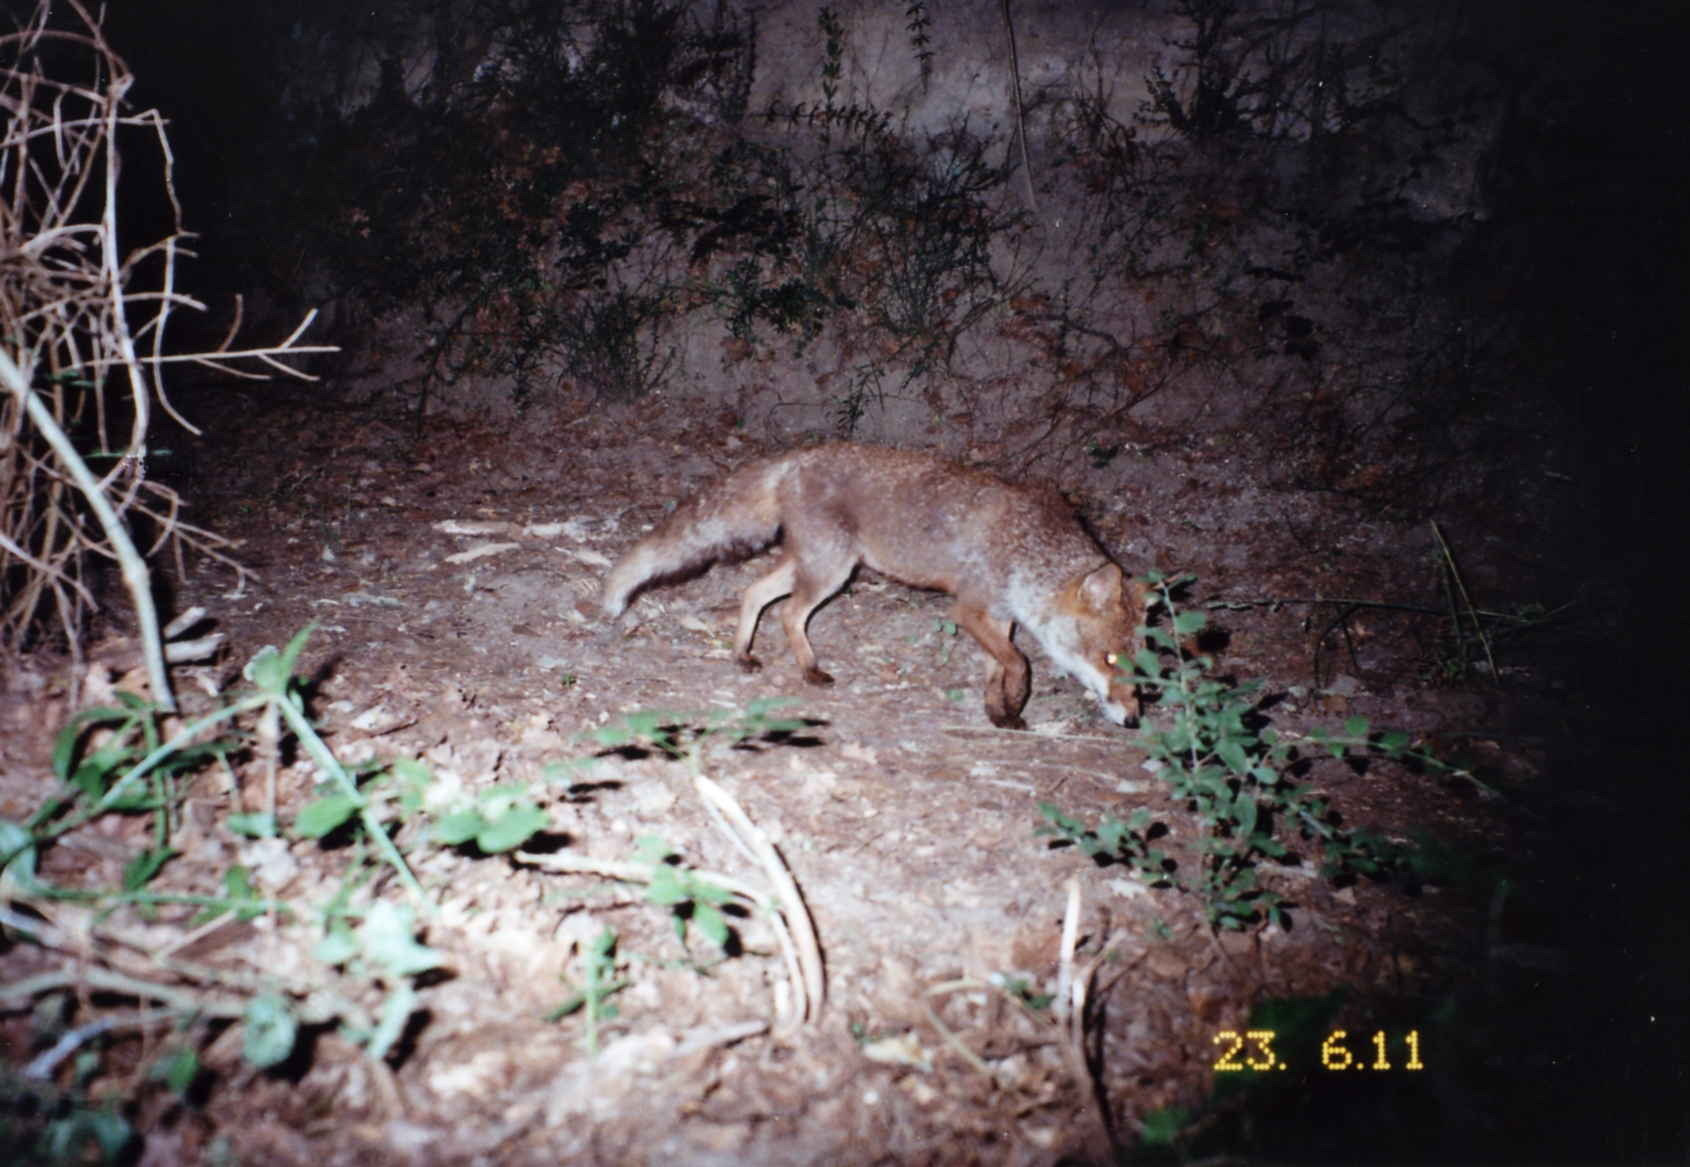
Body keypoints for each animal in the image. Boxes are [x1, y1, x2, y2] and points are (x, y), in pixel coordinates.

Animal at [601, 443, 1143, 729]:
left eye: (1137, 666)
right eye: (1109, 659)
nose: (1136, 720)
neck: (1027, 549)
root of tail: (795, 458)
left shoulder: (999, 617)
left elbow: (997, 670)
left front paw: (1000, 713)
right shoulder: (967, 610)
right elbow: (1021, 665)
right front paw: (1014, 702)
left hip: (813, 565)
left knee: (753, 594)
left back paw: (742, 655)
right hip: (832, 571)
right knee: (789, 613)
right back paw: (809, 671)